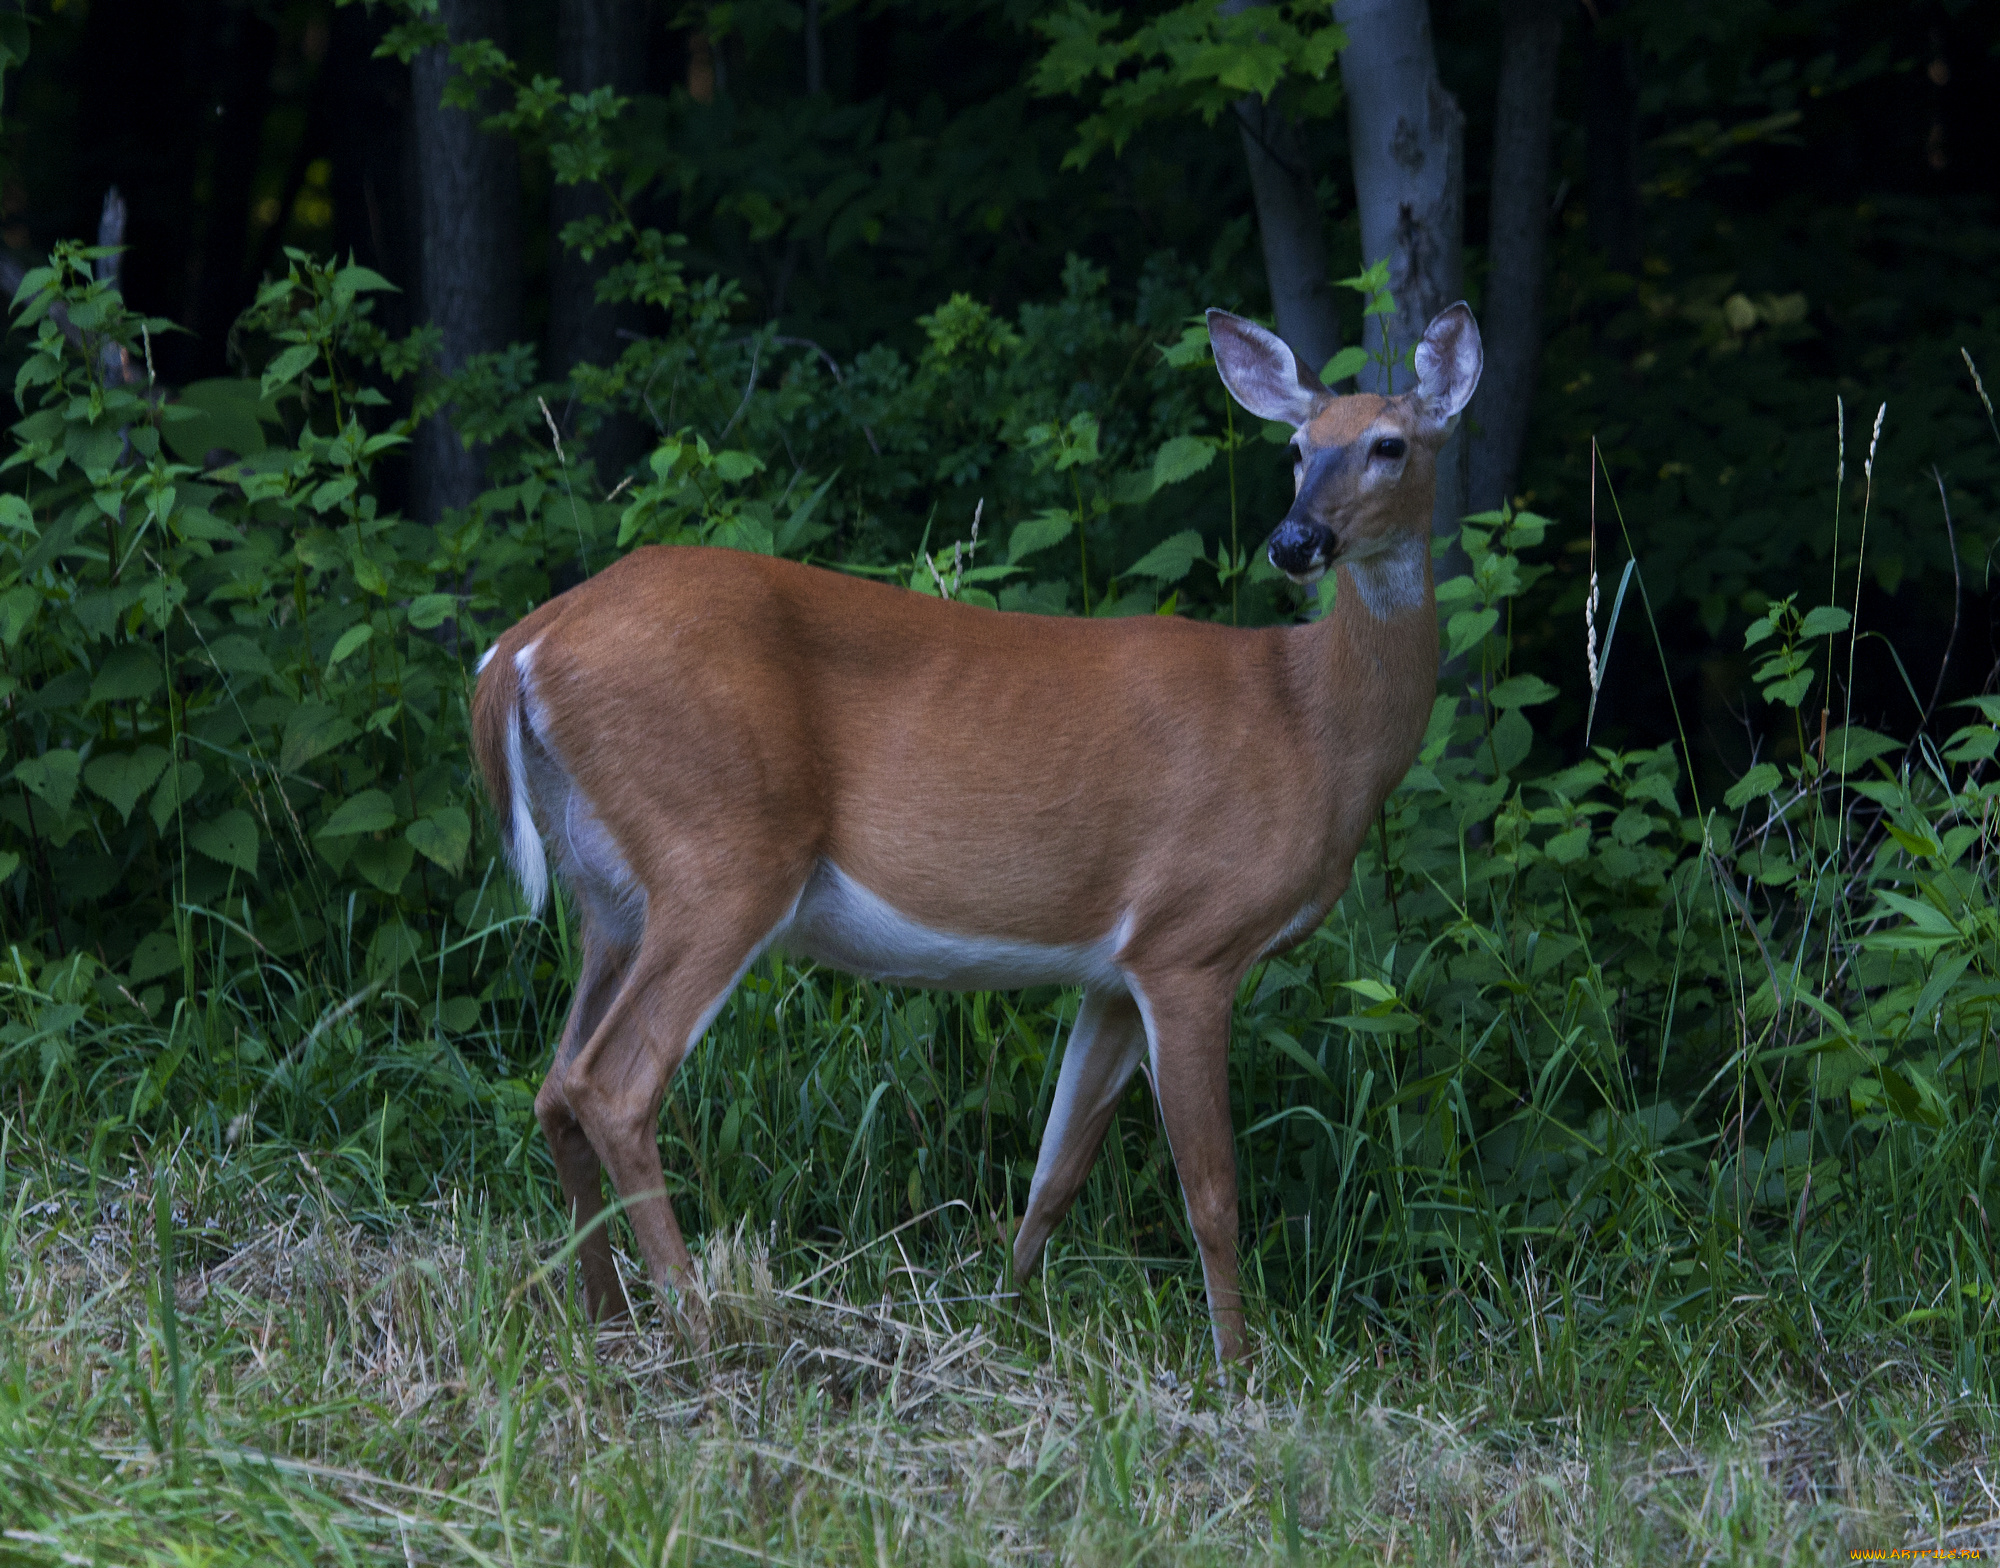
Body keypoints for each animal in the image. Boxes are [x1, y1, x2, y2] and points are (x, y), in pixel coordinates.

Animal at [464, 304, 1472, 1360]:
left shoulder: (1116, 969)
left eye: (1390, 445)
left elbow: (1053, 1173)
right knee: (613, 1084)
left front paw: (1005, 1317)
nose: (1295, 540)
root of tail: (523, 647)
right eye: (1295, 448)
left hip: (610, 894)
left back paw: (609, 1320)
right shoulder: (1192, 940)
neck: (1312, 723)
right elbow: (1212, 1193)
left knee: (554, 1084)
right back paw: (705, 1330)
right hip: (723, 854)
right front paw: (1237, 1367)